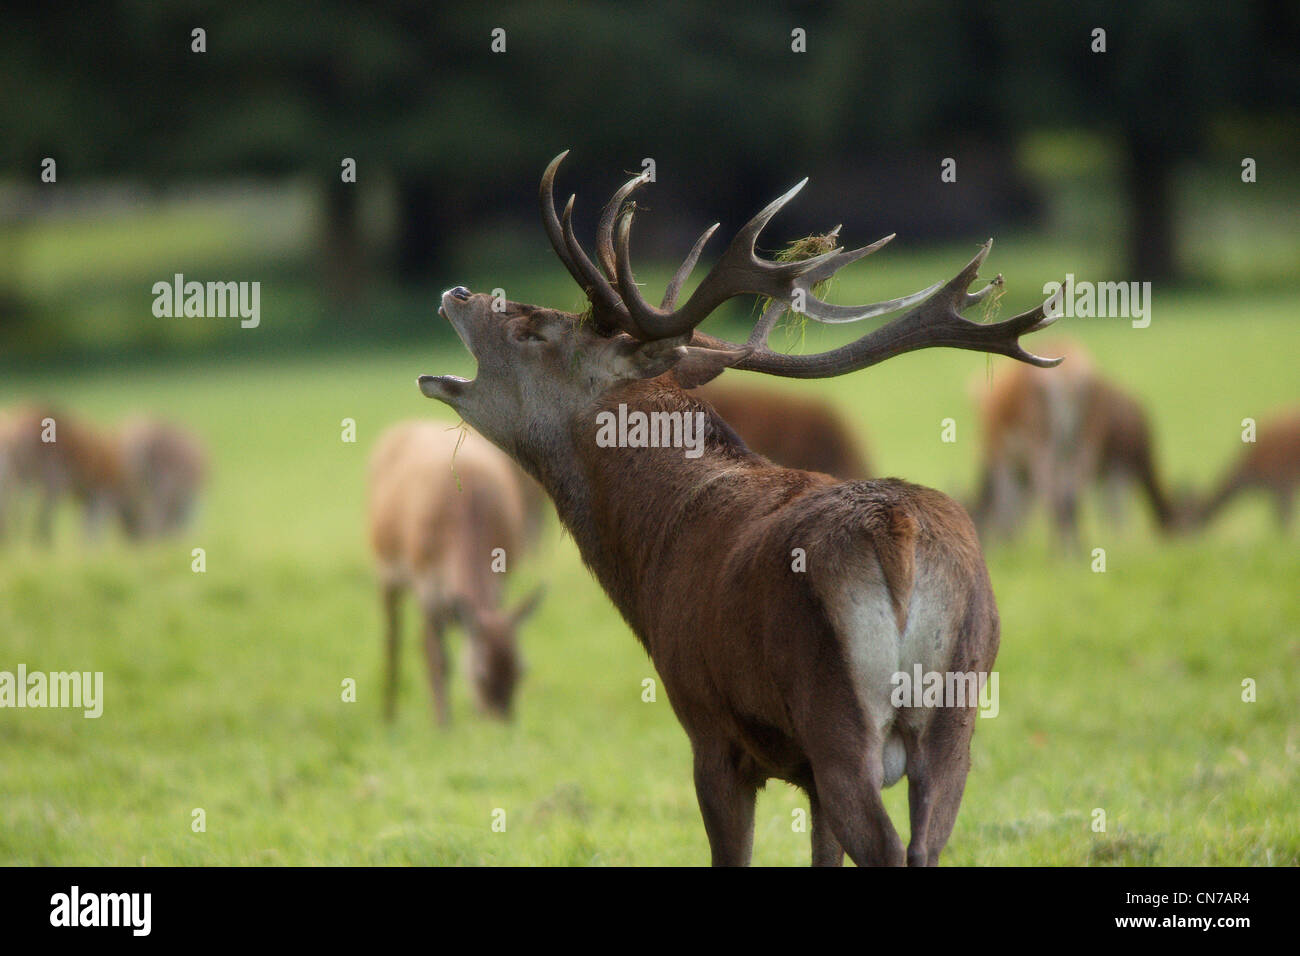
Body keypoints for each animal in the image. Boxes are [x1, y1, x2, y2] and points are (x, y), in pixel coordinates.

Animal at [368, 420, 546, 725]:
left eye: (521, 669)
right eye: (481, 675)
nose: (503, 723)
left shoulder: (501, 579)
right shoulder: (424, 582)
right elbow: (439, 659)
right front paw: (443, 725)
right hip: (385, 567)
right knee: (394, 639)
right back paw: (388, 716)